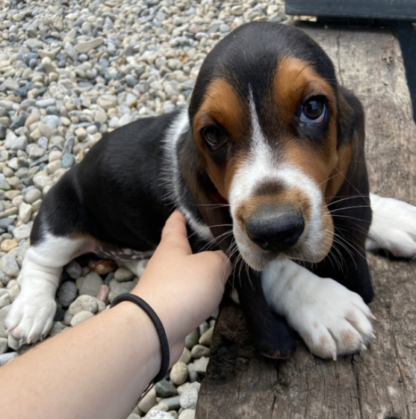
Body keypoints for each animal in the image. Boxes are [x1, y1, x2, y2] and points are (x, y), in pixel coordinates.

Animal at [5, 21, 416, 360]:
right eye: (214, 135)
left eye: (313, 107)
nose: (275, 229)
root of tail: (72, 169)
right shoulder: (216, 245)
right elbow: (272, 270)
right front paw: (327, 306)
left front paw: (396, 218)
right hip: (59, 216)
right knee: (40, 258)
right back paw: (31, 310)